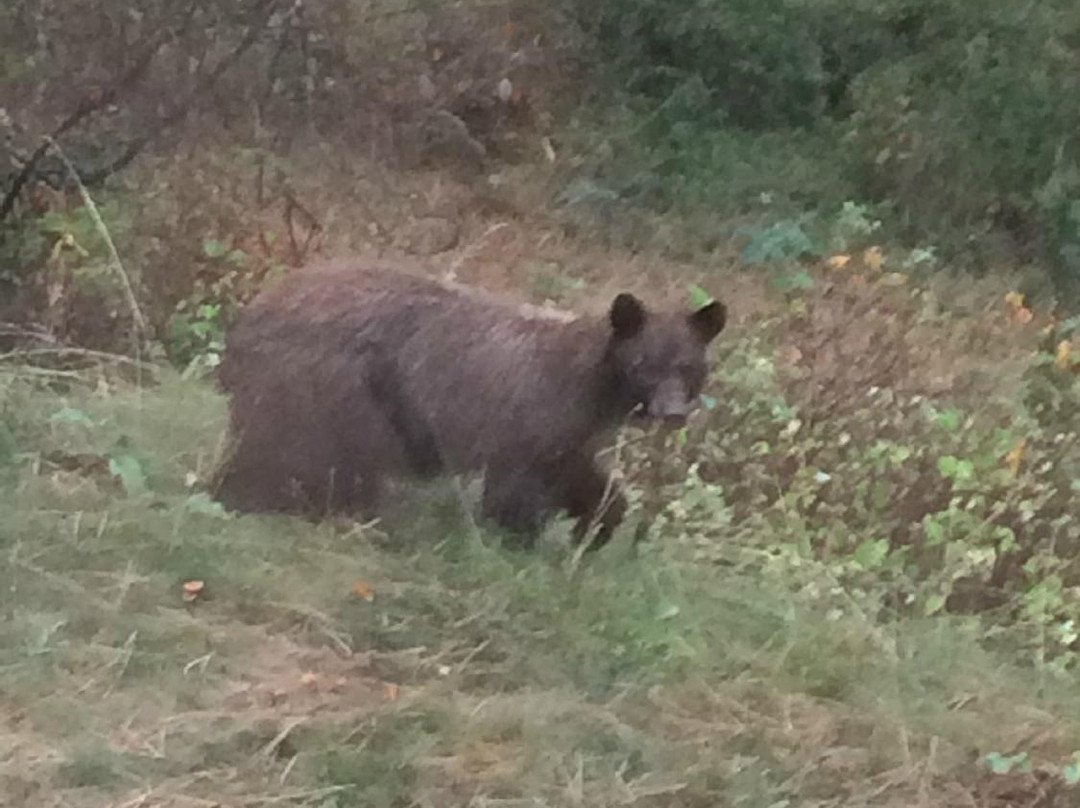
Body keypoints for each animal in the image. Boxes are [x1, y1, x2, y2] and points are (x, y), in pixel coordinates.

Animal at [212, 258, 727, 549]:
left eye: (687, 365)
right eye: (645, 364)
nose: (672, 411)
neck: (592, 387)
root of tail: (250, 313)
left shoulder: (568, 436)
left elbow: (583, 478)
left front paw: (596, 526)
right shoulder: (526, 418)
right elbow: (515, 490)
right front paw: (519, 540)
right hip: (326, 390)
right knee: (296, 455)